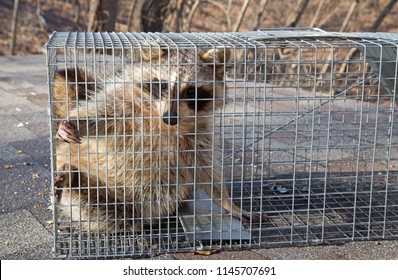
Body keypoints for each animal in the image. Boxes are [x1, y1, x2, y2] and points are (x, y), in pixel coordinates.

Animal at [52, 46, 264, 234]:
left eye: (191, 91)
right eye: (162, 85)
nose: (170, 118)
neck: (159, 120)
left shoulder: (198, 133)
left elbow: (205, 169)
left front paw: (228, 203)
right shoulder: (125, 102)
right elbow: (99, 114)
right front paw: (76, 122)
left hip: (138, 203)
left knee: (111, 210)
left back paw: (74, 179)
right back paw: (71, 176)